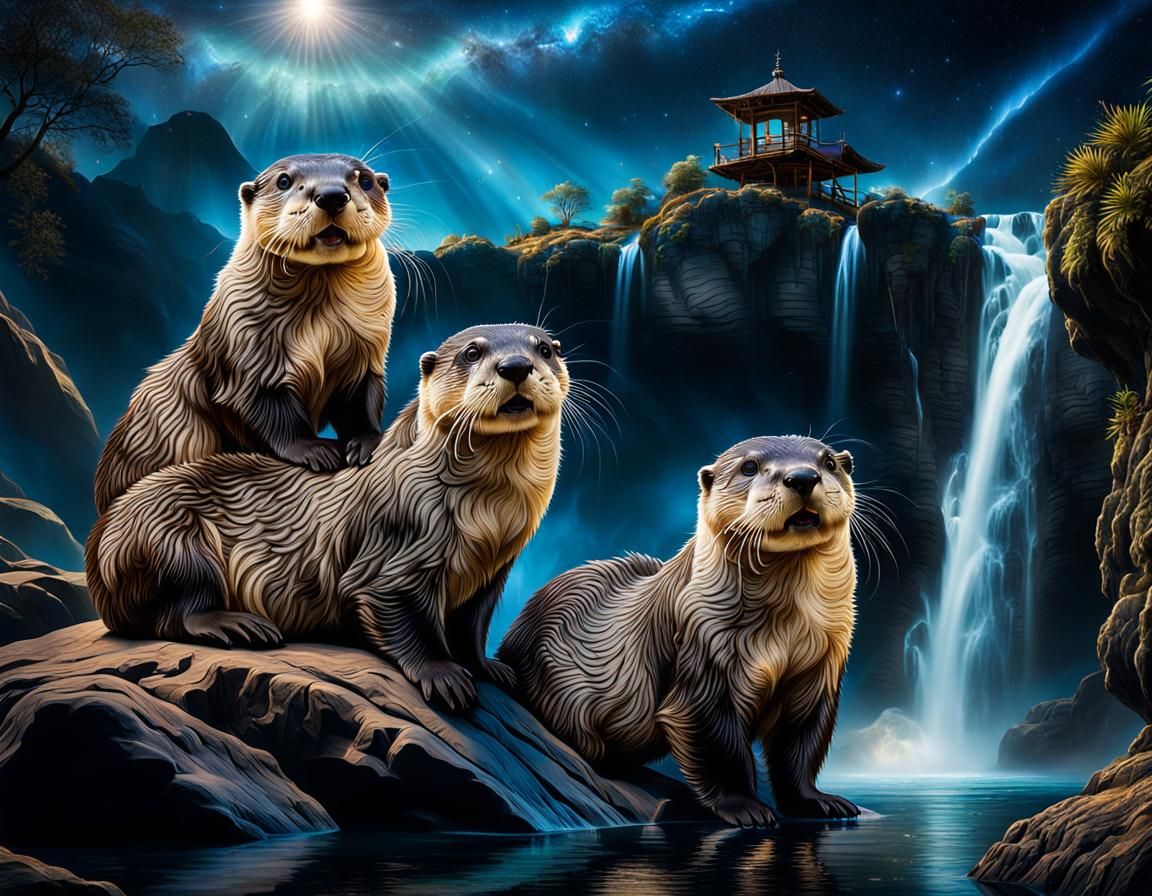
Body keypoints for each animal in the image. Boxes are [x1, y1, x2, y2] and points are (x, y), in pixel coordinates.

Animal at [86, 324, 569, 711]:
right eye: (472, 352)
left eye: (545, 348)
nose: (516, 365)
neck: (488, 524)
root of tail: (99, 543)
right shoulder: (399, 544)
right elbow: (397, 610)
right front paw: (442, 674)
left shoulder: (492, 574)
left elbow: (471, 629)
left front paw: (488, 668)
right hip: (170, 540)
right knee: (176, 612)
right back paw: (237, 625)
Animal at [93, 153, 395, 515]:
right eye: (284, 181)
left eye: (364, 180)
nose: (332, 195)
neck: (323, 332)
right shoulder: (248, 356)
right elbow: (266, 408)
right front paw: (314, 450)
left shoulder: (365, 352)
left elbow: (362, 398)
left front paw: (365, 443)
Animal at [499, 436, 859, 827]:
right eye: (749, 467)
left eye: (828, 462)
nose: (802, 477)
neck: (785, 632)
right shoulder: (703, 650)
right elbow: (717, 744)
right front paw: (744, 807)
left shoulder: (819, 671)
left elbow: (801, 745)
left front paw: (817, 801)